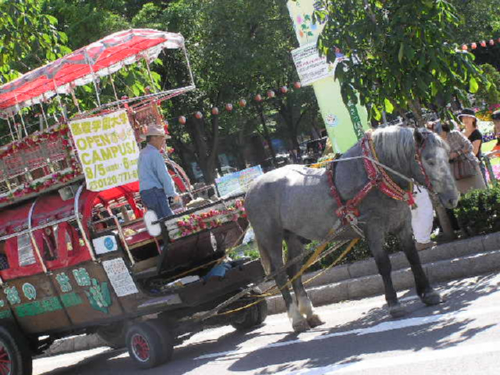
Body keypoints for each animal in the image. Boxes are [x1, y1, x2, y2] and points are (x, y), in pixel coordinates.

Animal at [244, 128, 458, 334]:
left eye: (448, 156)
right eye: (429, 160)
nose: (452, 198)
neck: (375, 176)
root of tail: (251, 187)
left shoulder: (403, 223)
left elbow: (413, 257)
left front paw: (428, 293)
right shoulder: (373, 228)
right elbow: (384, 265)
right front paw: (394, 304)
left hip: (294, 237)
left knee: (294, 272)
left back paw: (310, 314)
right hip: (271, 237)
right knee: (280, 276)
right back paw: (297, 319)